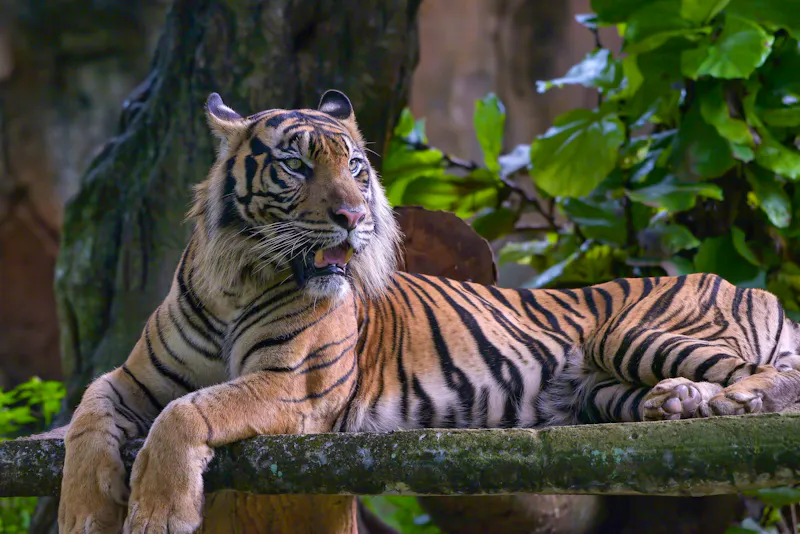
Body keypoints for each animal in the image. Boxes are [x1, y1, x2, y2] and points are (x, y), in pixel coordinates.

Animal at [58, 89, 800, 534]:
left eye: (356, 167)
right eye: (296, 166)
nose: (353, 217)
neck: (238, 277)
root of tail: (752, 286)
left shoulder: (292, 385)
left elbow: (189, 413)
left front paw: (156, 514)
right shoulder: (137, 378)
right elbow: (87, 414)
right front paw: (85, 514)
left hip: (631, 332)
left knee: (777, 382)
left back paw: (729, 402)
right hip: (601, 389)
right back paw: (674, 401)